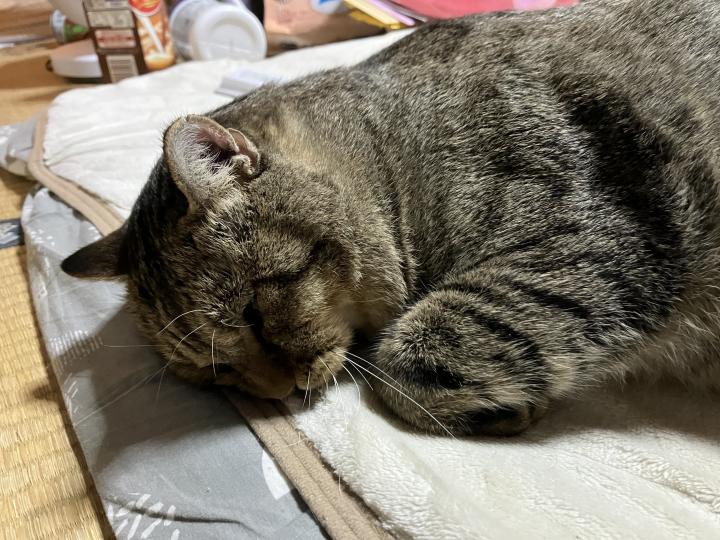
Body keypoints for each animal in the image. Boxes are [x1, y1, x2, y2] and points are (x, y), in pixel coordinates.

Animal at [62, 0, 720, 436]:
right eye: (215, 374)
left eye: (254, 314)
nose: (280, 394)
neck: (397, 153)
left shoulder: (597, 245)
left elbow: (408, 363)